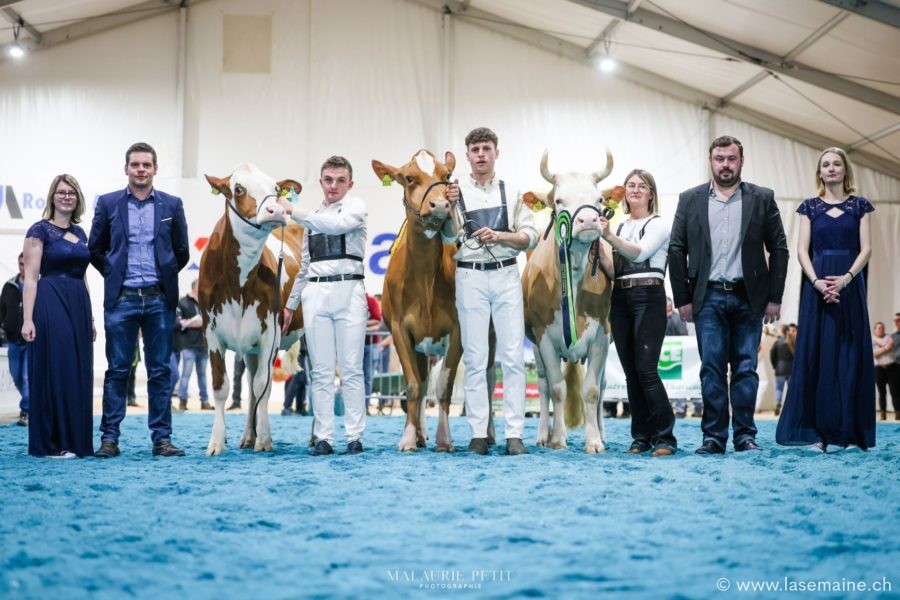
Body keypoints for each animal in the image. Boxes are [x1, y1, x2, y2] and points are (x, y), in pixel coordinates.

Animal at [199, 163, 304, 456]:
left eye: (276, 189)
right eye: (238, 189)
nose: (276, 210)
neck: (239, 283)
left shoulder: (271, 331)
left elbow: (262, 385)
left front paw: (265, 439)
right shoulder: (211, 332)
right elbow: (221, 386)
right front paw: (216, 442)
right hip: (249, 348)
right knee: (247, 383)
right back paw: (247, 435)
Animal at [521, 150, 617, 453]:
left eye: (599, 199)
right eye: (559, 200)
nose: (587, 221)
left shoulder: (601, 334)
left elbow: (592, 390)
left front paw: (594, 441)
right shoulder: (543, 336)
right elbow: (557, 388)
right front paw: (558, 439)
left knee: (602, 385)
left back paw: (602, 432)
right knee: (542, 385)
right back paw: (544, 434)